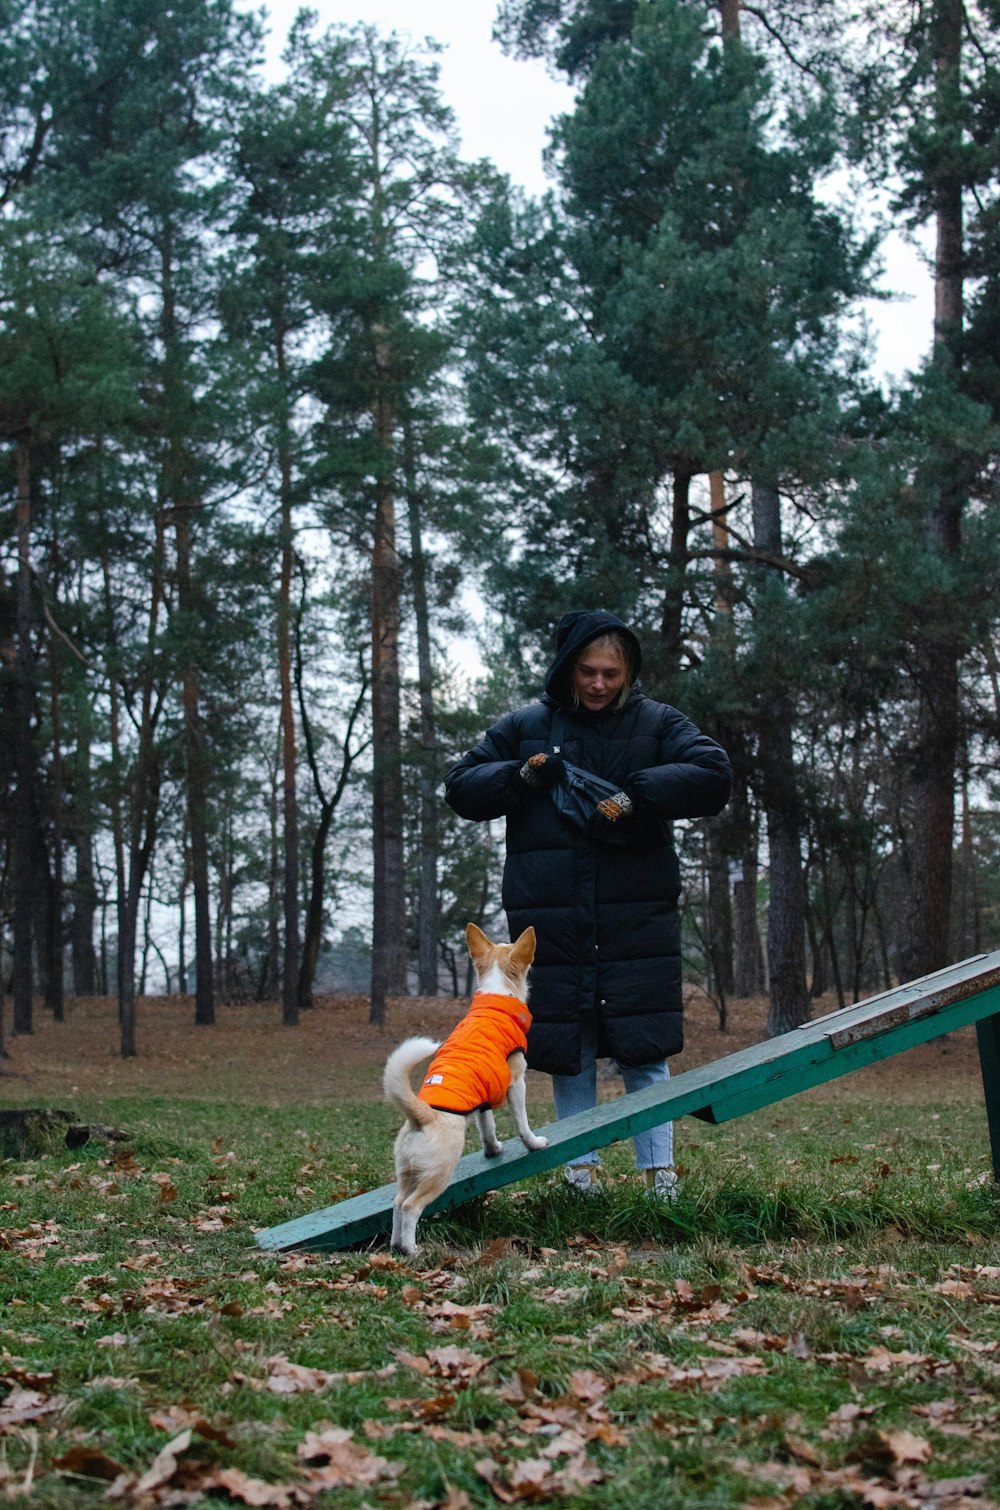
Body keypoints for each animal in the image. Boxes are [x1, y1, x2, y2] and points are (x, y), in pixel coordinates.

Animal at [383, 924, 552, 1256]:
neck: (497, 993)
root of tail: (421, 1115)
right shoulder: (516, 1083)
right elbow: (522, 1123)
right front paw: (534, 1144)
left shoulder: (485, 1101)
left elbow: (488, 1128)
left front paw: (493, 1150)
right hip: (437, 1175)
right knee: (410, 1208)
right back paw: (412, 1249)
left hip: (408, 1173)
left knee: (396, 1204)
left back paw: (398, 1245)